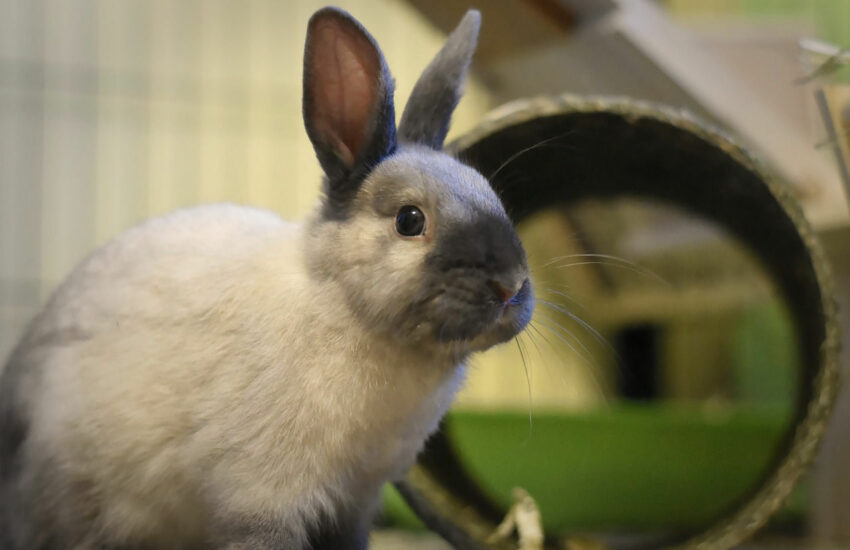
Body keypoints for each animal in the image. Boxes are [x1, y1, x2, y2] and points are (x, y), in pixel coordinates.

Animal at [0, 5, 528, 550]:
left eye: (491, 193)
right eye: (409, 221)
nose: (510, 286)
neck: (344, 308)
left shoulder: (354, 504)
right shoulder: (261, 502)